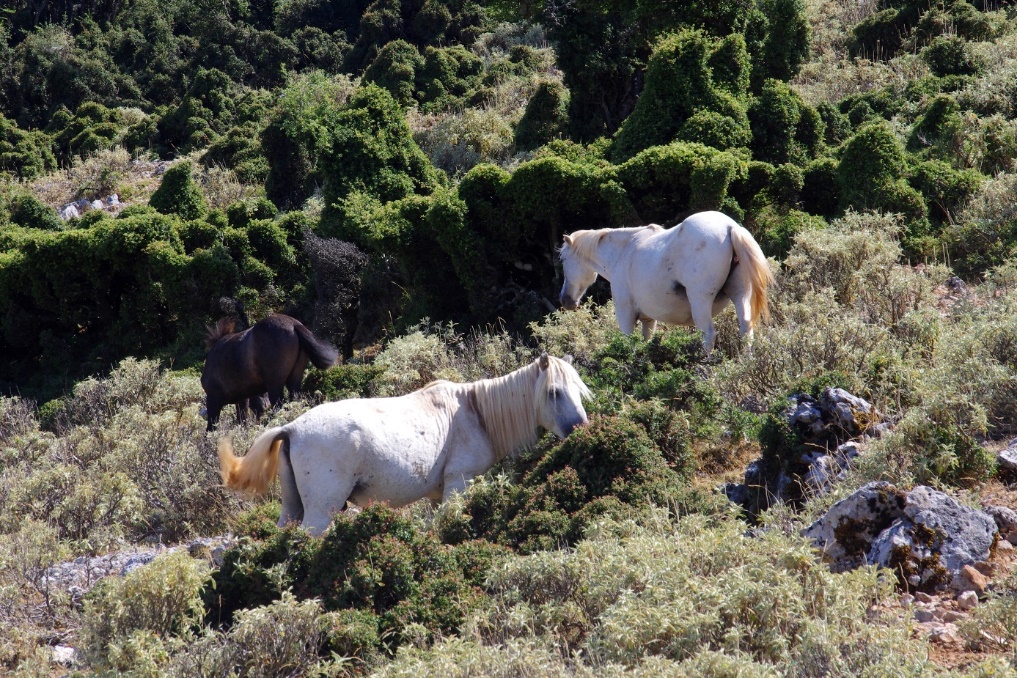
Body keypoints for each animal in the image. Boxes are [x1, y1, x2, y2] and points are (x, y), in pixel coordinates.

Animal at [200, 315, 339, 433]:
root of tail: (294, 325)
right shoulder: (242, 399)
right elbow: (242, 420)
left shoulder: (213, 400)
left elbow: (211, 428)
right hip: (294, 379)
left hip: (275, 384)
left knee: (278, 406)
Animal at [218, 349, 593, 536]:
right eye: (554, 392)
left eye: (579, 389)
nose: (581, 428)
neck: (476, 413)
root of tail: (292, 428)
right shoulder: (459, 482)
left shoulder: (437, 494)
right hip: (321, 510)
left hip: (292, 506)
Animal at [561, 210, 772, 349]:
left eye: (562, 259)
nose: (565, 300)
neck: (624, 252)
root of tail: (730, 227)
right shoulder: (648, 319)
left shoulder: (625, 315)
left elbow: (629, 344)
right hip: (741, 295)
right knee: (746, 330)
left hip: (701, 301)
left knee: (709, 335)